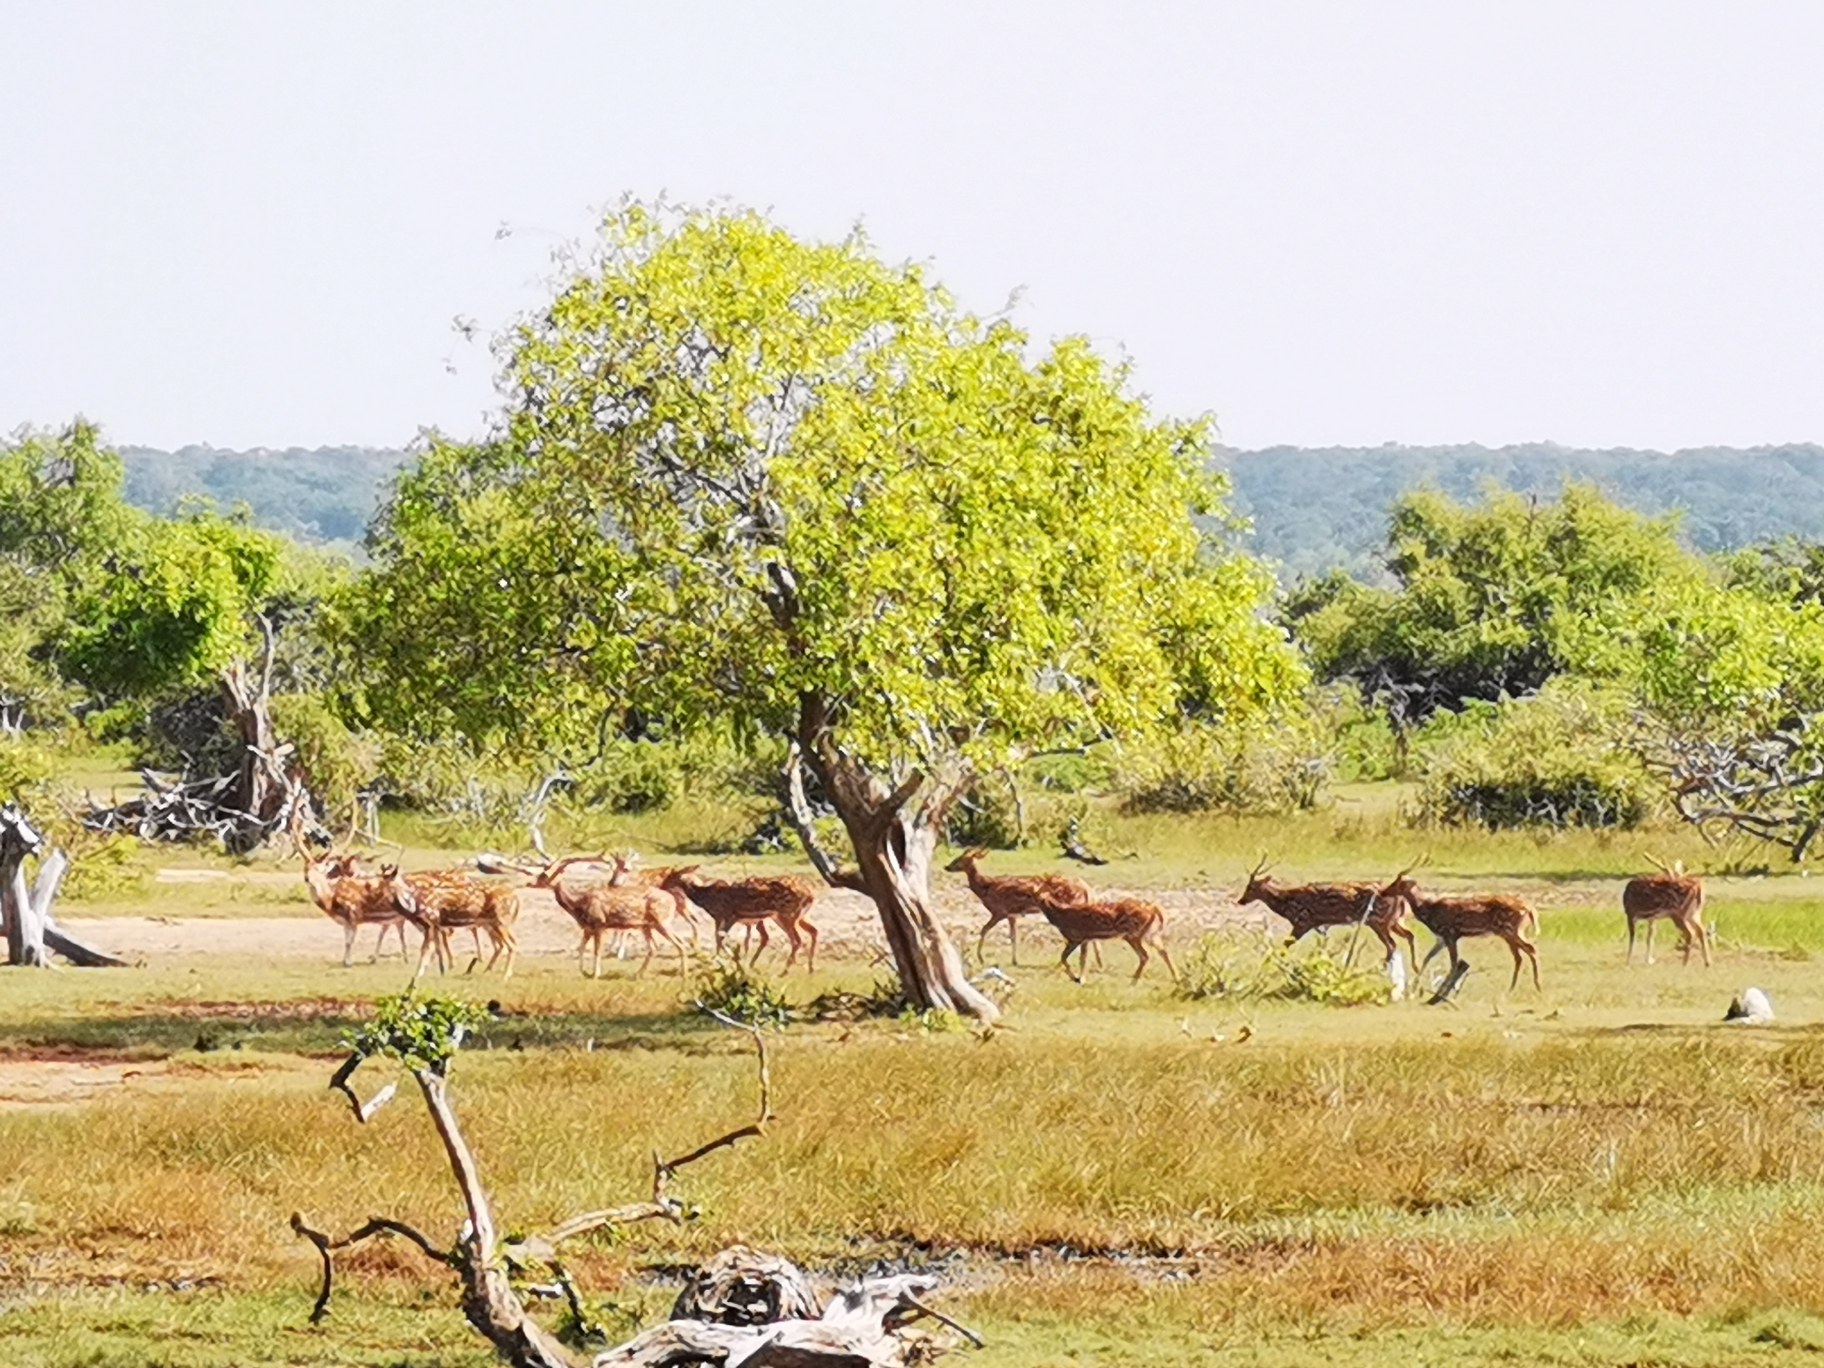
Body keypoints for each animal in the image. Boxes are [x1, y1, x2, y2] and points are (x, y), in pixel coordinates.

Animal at [663, 868, 820, 977]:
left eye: (670, 876)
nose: (662, 885)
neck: (705, 898)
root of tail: (810, 894)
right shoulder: (719, 918)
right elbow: (718, 938)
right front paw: (720, 962)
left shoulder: (730, 915)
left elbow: (720, 938)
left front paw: (727, 960)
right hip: (794, 916)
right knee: (813, 931)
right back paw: (810, 968)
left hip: (786, 914)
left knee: (797, 940)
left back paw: (784, 971)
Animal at [948, 846, 1087, 963]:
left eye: (960, 859)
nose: (947, 866)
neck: (987, 888)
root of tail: (1084, 888)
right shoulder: (1011, 915)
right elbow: (1013, 936)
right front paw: (1014, 961)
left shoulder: (999, 911)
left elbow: (984, 929)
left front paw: (980, 958)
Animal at [1036, 890, 1174, 984]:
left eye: (1033, 895)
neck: (1060, 916)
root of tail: (1154, 909)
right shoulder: (1085, 938)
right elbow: (1081, 958)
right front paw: (1079, 978)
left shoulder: (1076, 937)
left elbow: (1068, 957)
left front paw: (1078, 978)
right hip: (1148, 934)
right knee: (1162, 952)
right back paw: (1176, 979)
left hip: (1133, 934)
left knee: (1145, 955)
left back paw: (1134, 981)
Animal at [1233, 860, 1415, 970]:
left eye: (1251, 887)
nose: (1240, 900)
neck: (1287, 903)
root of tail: (1401, 898)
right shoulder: (1319, 925)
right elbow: (1322, 947)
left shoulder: (1303, 921)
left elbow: (1286, 945)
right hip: (1394, 920)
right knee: (1409, 935)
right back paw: (1413, 967)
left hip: (1378, 920)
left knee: (1392, 944)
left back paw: (1380, 968)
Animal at [1378, 871, 1539, 992]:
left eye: (1397, 883)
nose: (1383, 891)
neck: (1429, 912)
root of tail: (1530, 909)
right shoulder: (1442, 938)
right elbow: (1428, 958)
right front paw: (1415, 986)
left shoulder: (1450, 934)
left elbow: (1454, 962)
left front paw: (1447, 989)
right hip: (1509, 933)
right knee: (1520, 956)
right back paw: (1514, 988)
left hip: (1511, 930)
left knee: (1530, 949)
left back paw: (1536, 986)